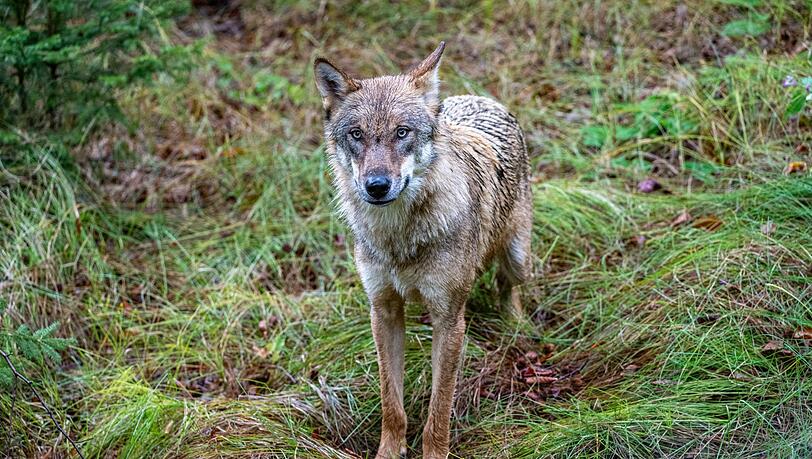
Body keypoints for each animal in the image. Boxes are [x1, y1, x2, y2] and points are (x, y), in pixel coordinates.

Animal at [314, 42, 532, 458]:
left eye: (402, 132)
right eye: (356, 134)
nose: (377, 185)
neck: (399, 238)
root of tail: (479, 99)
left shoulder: (449, 321)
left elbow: (439, 406)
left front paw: (433, 451)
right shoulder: (383, 311)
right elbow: (391, 401)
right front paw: (389, 450)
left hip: (518, 259)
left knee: (507, 286)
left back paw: (516, 325)